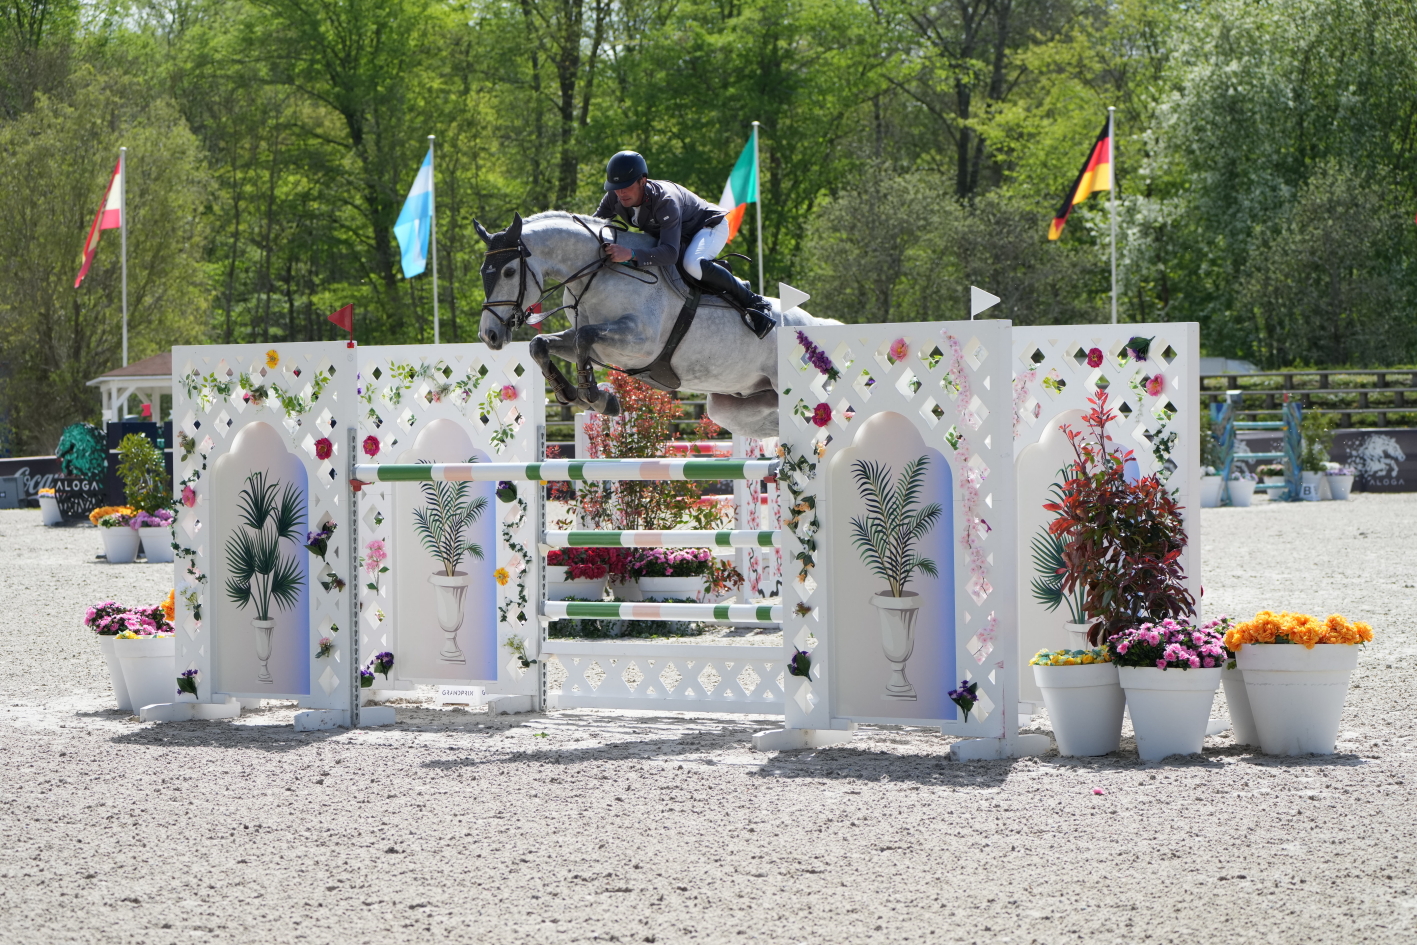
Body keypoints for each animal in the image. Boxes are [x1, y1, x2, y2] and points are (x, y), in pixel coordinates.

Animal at [474, 211, 838, 439]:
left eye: (509, 272)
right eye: (482, 272)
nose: (489, 335)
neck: (601, 271)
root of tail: (816, 323)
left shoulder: (641, 344)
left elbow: (583, 338)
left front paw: (595, 397)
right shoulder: (601, 344)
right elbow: (544, 344)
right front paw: (574, 394)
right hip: (734, 406)